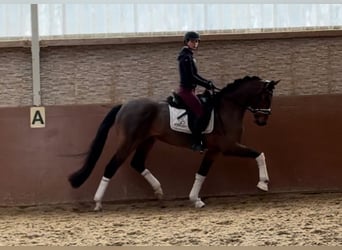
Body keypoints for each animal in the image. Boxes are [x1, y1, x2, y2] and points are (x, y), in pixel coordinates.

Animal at [69, 75, 278, 210]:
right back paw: (98, 202)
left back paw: (159, 190)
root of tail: (124, 106)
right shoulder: (228, 147)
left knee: (137, 163)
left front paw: (195, 199)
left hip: (147, 141)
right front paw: (263, 183)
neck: (226, 108)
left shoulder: (213, 151)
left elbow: (201, 173)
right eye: (266, 97)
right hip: (128, 142)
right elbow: (259, 154)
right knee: (111, 166)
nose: (263, 121)